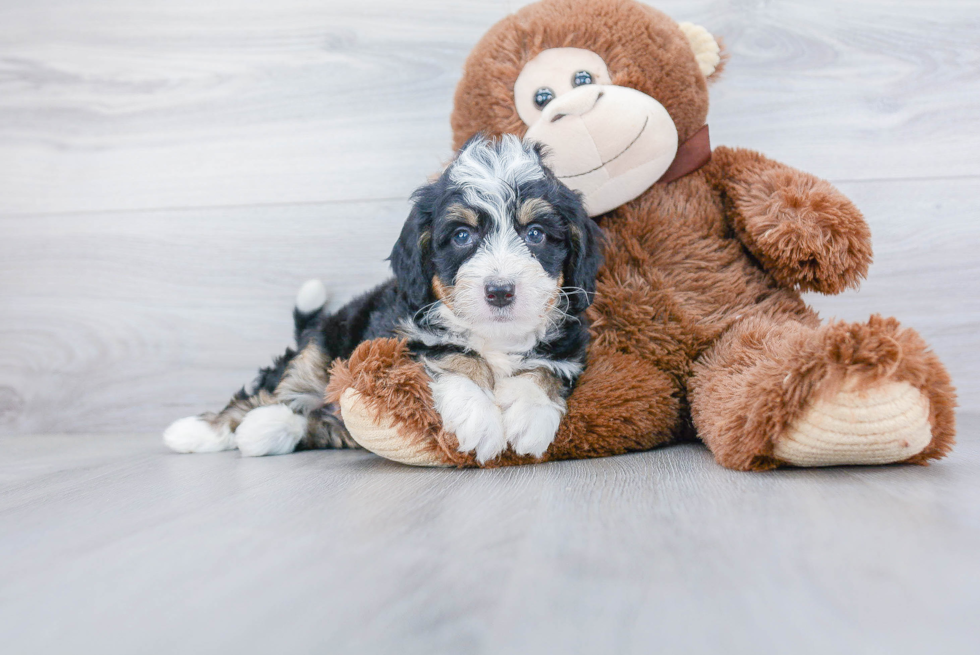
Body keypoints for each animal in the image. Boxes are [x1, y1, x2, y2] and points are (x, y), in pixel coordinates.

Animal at [165, 135, 600, 462]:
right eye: (462, 236)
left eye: (536, 234)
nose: (499, 291)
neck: (496, 336)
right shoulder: (403, 336)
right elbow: (454, 354)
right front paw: (479, 416)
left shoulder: (570, 344)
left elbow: (546, 368)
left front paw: (530, 413)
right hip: (322, 346)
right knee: (266, 392)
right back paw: (197, 431)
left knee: (310, 418)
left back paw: (266, 429)